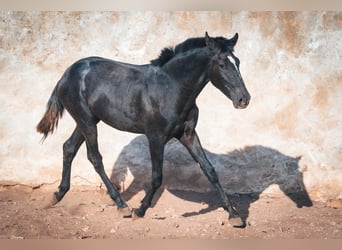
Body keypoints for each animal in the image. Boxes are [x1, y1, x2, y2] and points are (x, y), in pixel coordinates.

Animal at [36, 32, 251, 228]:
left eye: (238, 62)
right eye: (222, 64)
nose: (244, 99)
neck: (170, 88)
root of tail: (67, 73)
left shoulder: (188, 134)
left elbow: (210, 170)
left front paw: (234, 215)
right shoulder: (155, 136)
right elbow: (157, 177)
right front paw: (140, 210)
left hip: (86, 121)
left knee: (69, 148)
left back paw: (57, 195)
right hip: (87, 122)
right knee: (94, 158)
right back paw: (122, 205)